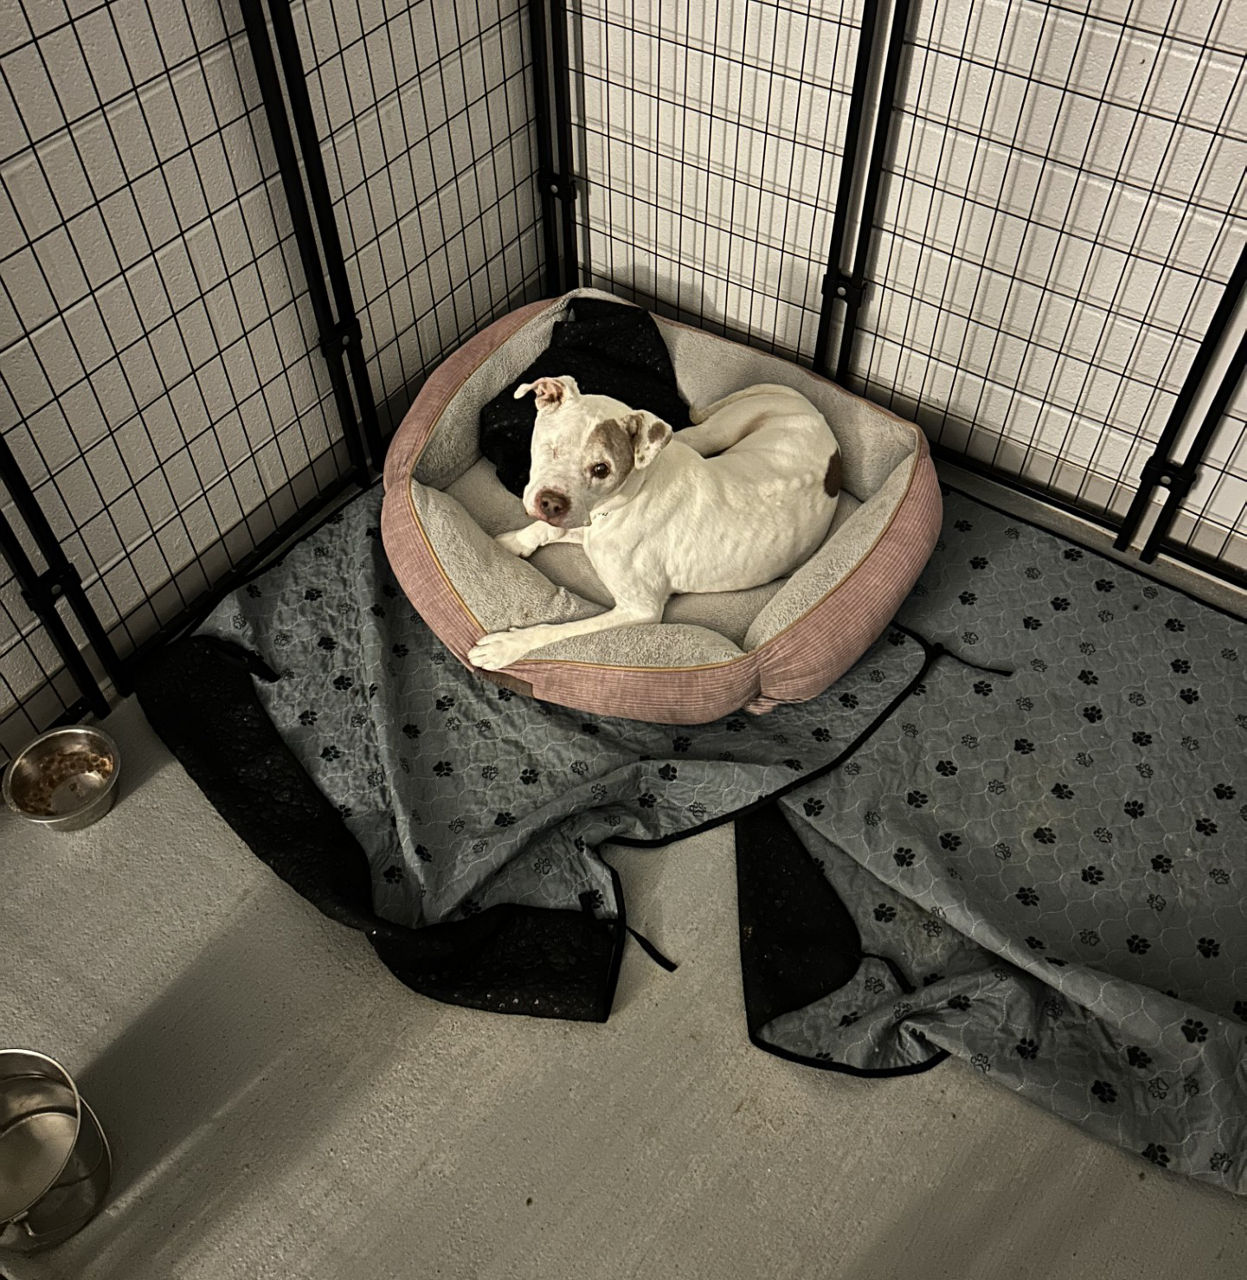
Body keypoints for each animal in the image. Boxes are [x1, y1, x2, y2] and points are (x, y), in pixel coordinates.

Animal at [468, 373, 839, 675]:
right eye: (552, 448)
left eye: (601, 469)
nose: (551, 502)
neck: (615, 505)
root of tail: (815, 413)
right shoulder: (585, 525)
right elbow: (548, 528)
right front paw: (513, 541)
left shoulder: (638, 610)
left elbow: (559, 630)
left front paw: (506, 647)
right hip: (716, 430)